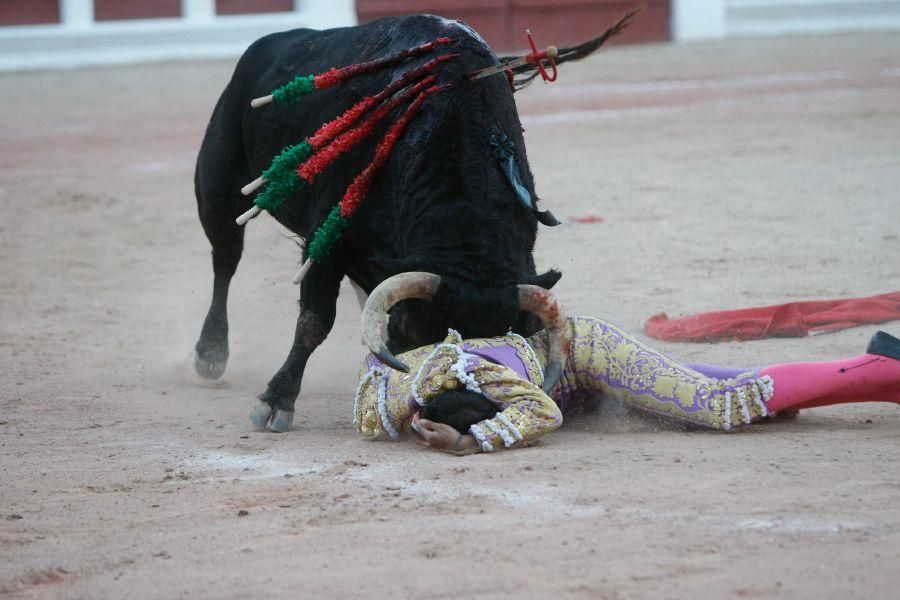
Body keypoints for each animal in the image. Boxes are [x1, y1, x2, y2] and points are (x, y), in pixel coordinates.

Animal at [192, 15, 560, 432]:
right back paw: (211, 351)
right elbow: (314, 322)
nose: (462, 411)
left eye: (506, 342)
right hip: (218, 188)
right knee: (225, 260)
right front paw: (275, 401)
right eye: (415, 332)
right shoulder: (326, 243)